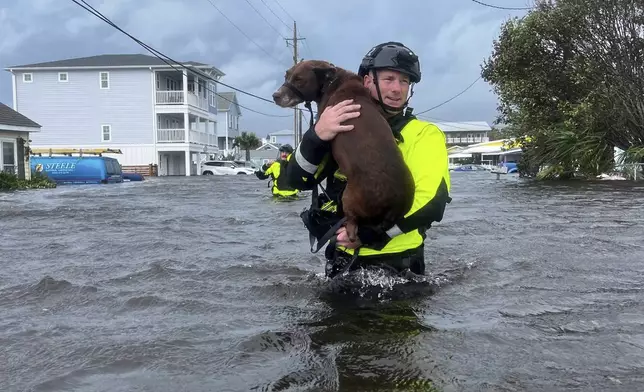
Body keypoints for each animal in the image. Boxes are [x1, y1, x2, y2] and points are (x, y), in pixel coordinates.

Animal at [270, 59, 412, 243]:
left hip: (348, 199)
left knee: (352, 230)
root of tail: (391, 207)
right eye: (286, 75)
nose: (275, 95)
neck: (333, 81)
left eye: (299, 80)